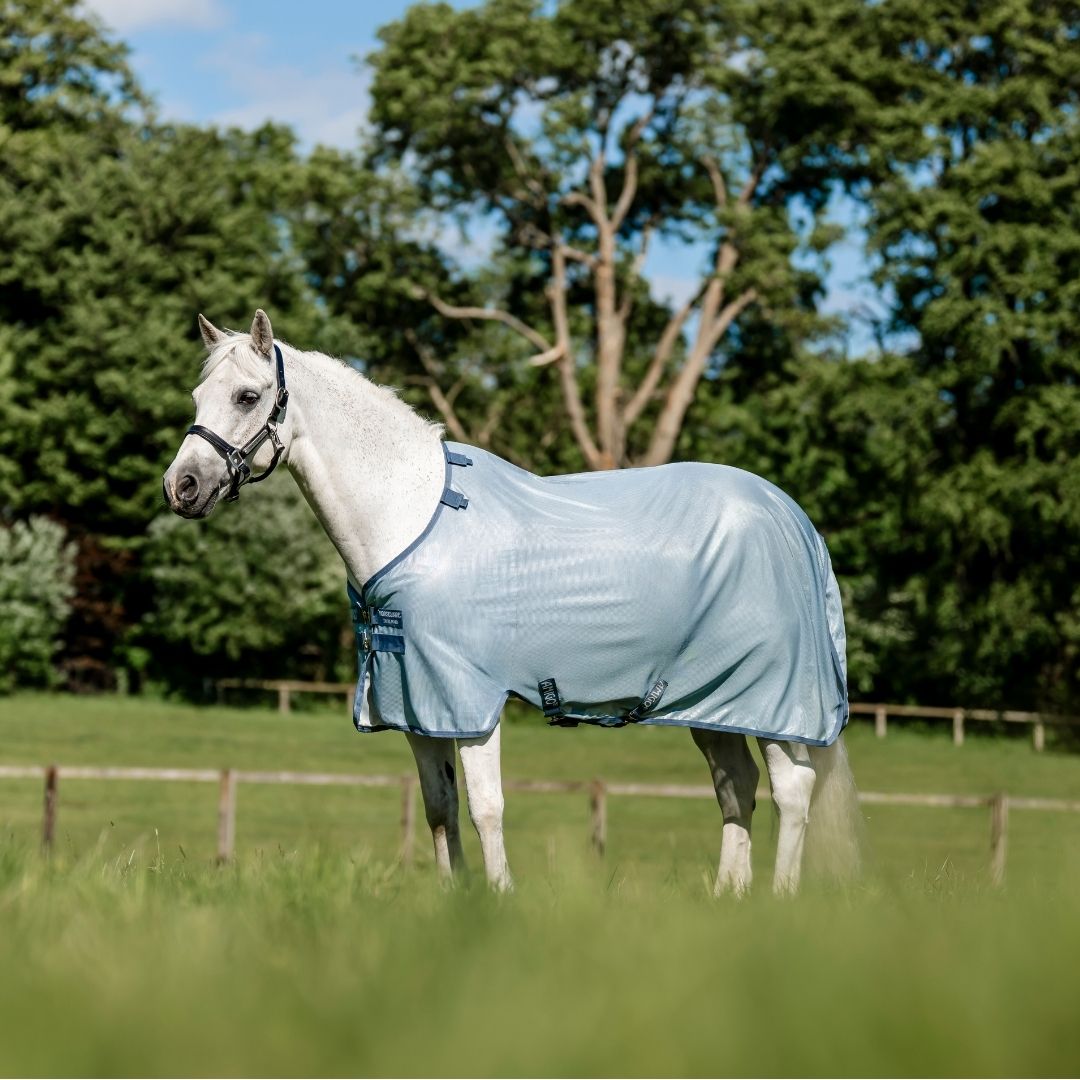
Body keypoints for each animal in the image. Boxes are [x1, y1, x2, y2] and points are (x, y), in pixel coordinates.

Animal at [163, 309, 860, 895]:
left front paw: (498, 902)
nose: (182, 486)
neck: (414, 517)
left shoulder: (469, 700)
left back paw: (778, 900)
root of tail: (792, 518)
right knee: (735, 787)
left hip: (773, 700)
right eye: (198, 397)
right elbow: (439, 806)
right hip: (713, 703)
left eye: (247, 396)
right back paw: (727, 899)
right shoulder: (417, 704)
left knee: (791, 789)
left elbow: (485, 807)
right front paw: (454, 900)